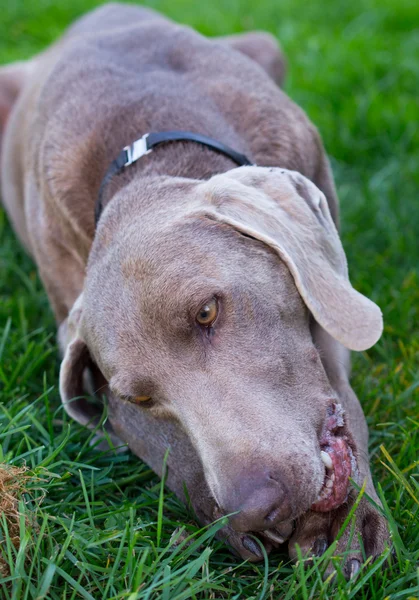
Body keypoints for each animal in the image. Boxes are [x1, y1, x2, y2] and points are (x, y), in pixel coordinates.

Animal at [0, 3, 390, 576]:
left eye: (206, 311)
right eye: (140, 396)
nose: (258, 506)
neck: (146, 149)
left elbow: (343, 393)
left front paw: (345, 526)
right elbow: (158, 445)